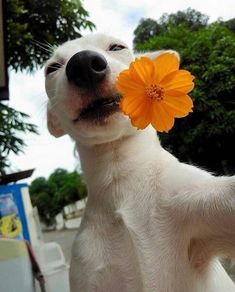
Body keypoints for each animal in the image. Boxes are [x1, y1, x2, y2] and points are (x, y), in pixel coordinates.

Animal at [44, 33, 235, 290]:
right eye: (52, 68)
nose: (82, 64)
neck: (119, 178)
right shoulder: (87, 269)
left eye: (117, 47)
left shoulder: (193, 203)